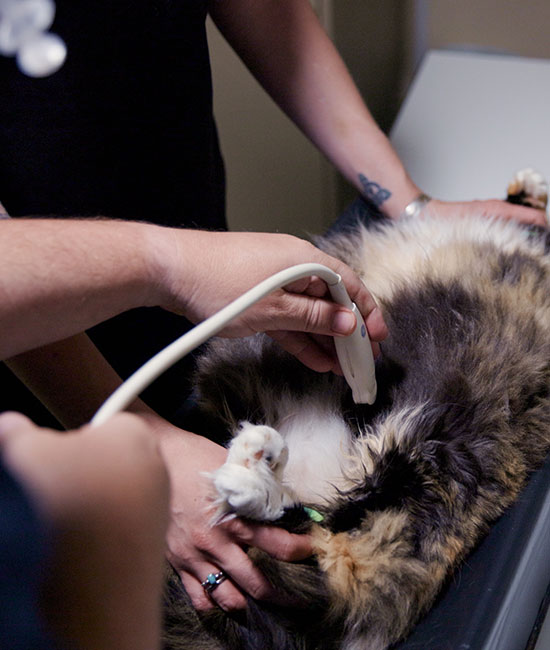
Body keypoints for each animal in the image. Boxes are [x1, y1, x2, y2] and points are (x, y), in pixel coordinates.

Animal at [164, 171, 550, 648]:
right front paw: (527, 188)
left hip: (423, 454)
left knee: (308, 552)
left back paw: (249, 468)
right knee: (304, 544)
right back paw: (255, 463)